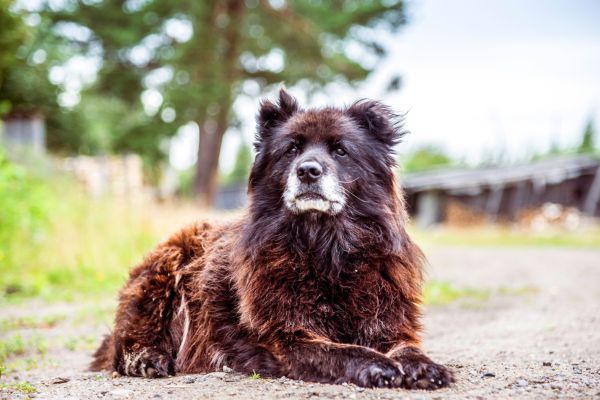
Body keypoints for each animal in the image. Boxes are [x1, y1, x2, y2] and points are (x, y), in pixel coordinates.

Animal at [91, 89, 452, 390]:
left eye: (341, 150)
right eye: (291, 149)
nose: (308, 171)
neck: (325, 248)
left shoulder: (389, 324)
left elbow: (408, 348)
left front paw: (425, 366)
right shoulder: (286, 338)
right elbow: (344, 352)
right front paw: (379, 366)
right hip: (163, 275)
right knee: (122, 346)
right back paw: (148, 359)